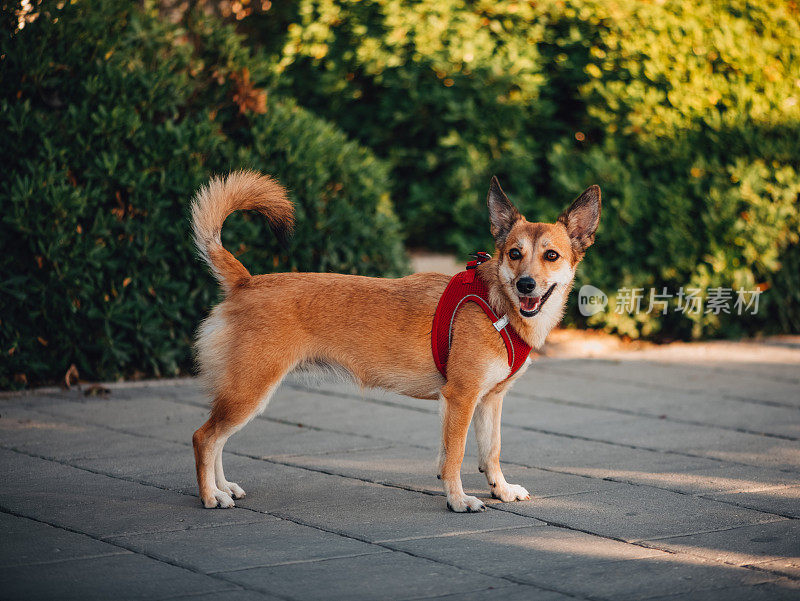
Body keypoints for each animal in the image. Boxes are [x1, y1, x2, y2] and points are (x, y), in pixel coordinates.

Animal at [189, 171, 600, 512]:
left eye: (551, 255)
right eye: (514, 254)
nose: (526, 285)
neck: (497, 303)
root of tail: (245, 281)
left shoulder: (489, 400)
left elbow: (491, 451)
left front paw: (500, 489)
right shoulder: (461, 398)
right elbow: (456, 455)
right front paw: (458, 500)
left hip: (241, 392)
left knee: (218, 439)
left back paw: (224, 487)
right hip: (249, 390)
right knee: (204, 438)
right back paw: (211, 496)